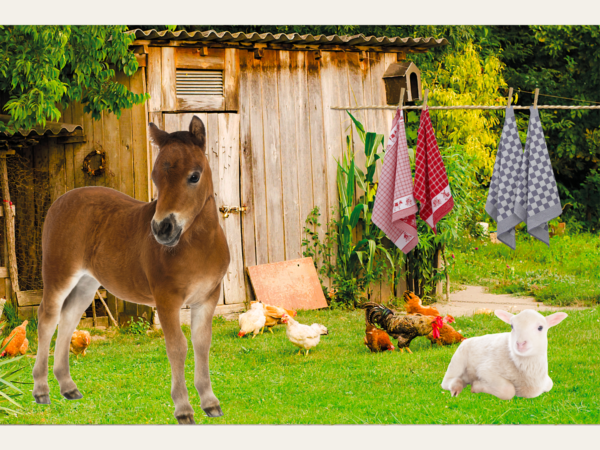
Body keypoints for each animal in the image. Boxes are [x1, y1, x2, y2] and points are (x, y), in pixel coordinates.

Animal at [32, 117, 230, 426]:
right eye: (155, 177)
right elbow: (178, 346)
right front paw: (184, 410)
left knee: (67, 319)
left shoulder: (207, 298)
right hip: (59, 274)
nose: (162, 229)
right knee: (47, 318)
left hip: (87, 284)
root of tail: (60, 200)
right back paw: (42, 391)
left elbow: (201, 344)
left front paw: (210, 403)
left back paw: (68, 387)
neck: (198, 246)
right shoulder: (167, 300)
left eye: (194, 176)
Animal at [440, 310, 568, 400]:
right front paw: (476, 386)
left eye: (540, 327)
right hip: (457, 361)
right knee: (447, 381)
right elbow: (508, 390)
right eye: (512, 326)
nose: (520, 343)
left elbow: (550, 384)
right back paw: (457, 387)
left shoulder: (546, 381)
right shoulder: (486, 370)